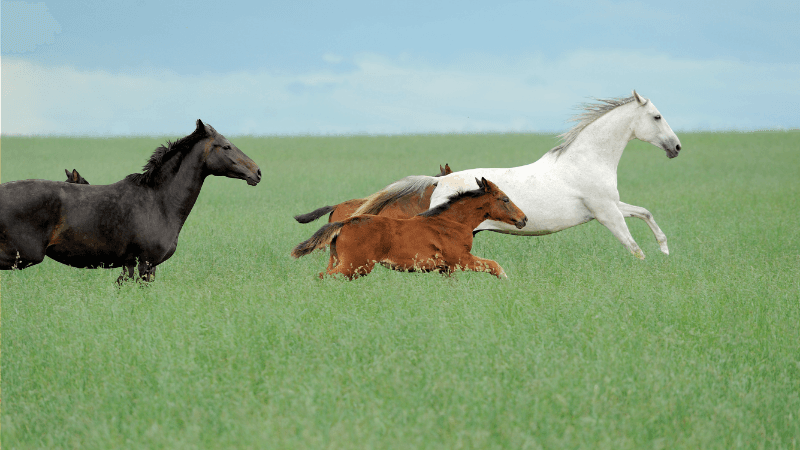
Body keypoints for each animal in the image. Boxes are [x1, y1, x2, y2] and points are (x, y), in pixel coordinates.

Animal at [0, 119, 262, 283]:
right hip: (23, 256)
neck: (159, 202)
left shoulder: (130, 264)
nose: (257, 172)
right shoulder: (146, 263)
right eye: (226, 146)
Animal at [291, 177, 527, 280]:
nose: (523, 219)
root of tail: (345, 222)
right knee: (322, 276)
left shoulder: (447, 268)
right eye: (505, 199)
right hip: (355, 265)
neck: (452, 221)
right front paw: (507, 281)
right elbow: (494, 265)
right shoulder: (462, 259)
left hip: (345, 264)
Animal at [344, 90, 681, 259]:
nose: (676, 147)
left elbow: (645, 213)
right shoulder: (606, 213)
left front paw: (665, 251)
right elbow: (634, 248)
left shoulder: (612, 206)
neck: (586, 161)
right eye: (657, 117)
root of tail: (439, 180)